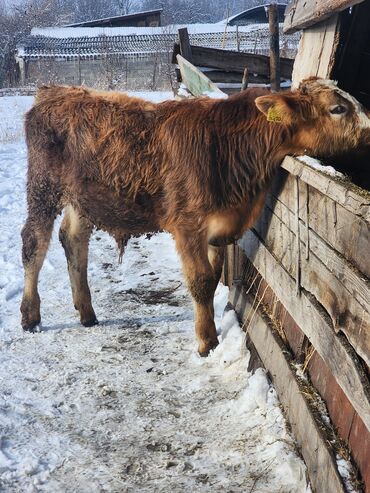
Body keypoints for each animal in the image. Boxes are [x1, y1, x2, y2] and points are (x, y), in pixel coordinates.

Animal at [21, 78, 370, 354]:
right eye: (338, 108)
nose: (369, 133)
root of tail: (53, 91)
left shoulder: (219, 227)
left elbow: (214, 277)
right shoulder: (187, 225)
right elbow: (200, 281)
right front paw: (207, 342)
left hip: (82, 198)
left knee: (73, 239)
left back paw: (86, 312)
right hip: (43, 187)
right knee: (33, 243)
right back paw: (30, 315)